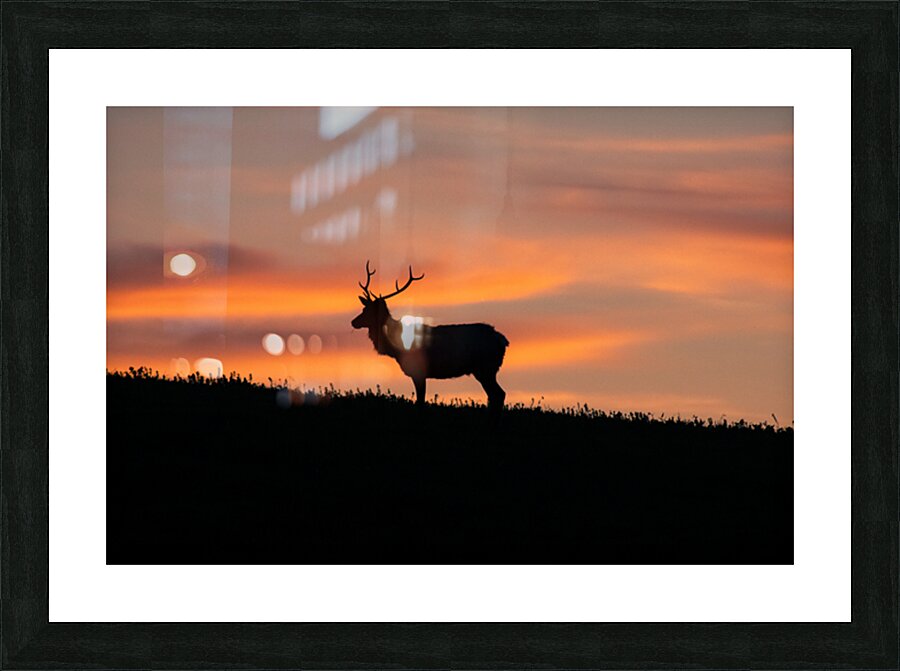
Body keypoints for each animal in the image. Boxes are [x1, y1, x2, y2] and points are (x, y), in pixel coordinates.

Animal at [351, 261, 510, 418]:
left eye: (367, 311)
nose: (353, 322)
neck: (396, 349)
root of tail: (503, 340)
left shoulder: (418, 370)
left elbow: (420, 402)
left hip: (485, 367)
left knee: (499, 394)